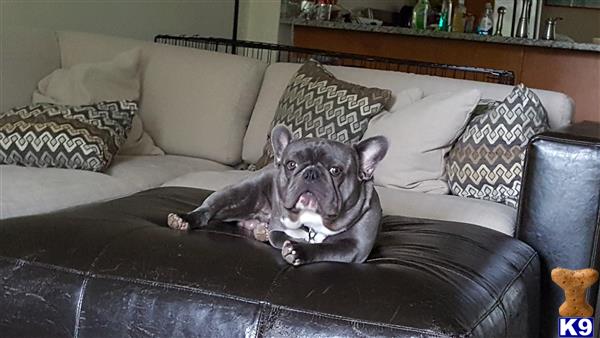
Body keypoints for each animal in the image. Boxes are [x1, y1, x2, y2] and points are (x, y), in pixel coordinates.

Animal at [168, 125, 390, 266]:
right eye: (291, 164)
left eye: (335, 170)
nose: (310, 173)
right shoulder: (279, 228)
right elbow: (280, 235)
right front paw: (290, 241)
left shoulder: (355, 247)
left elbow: (325, 248)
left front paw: (298, 250)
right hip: (237, 193)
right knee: (208, 210)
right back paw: (183, 219)